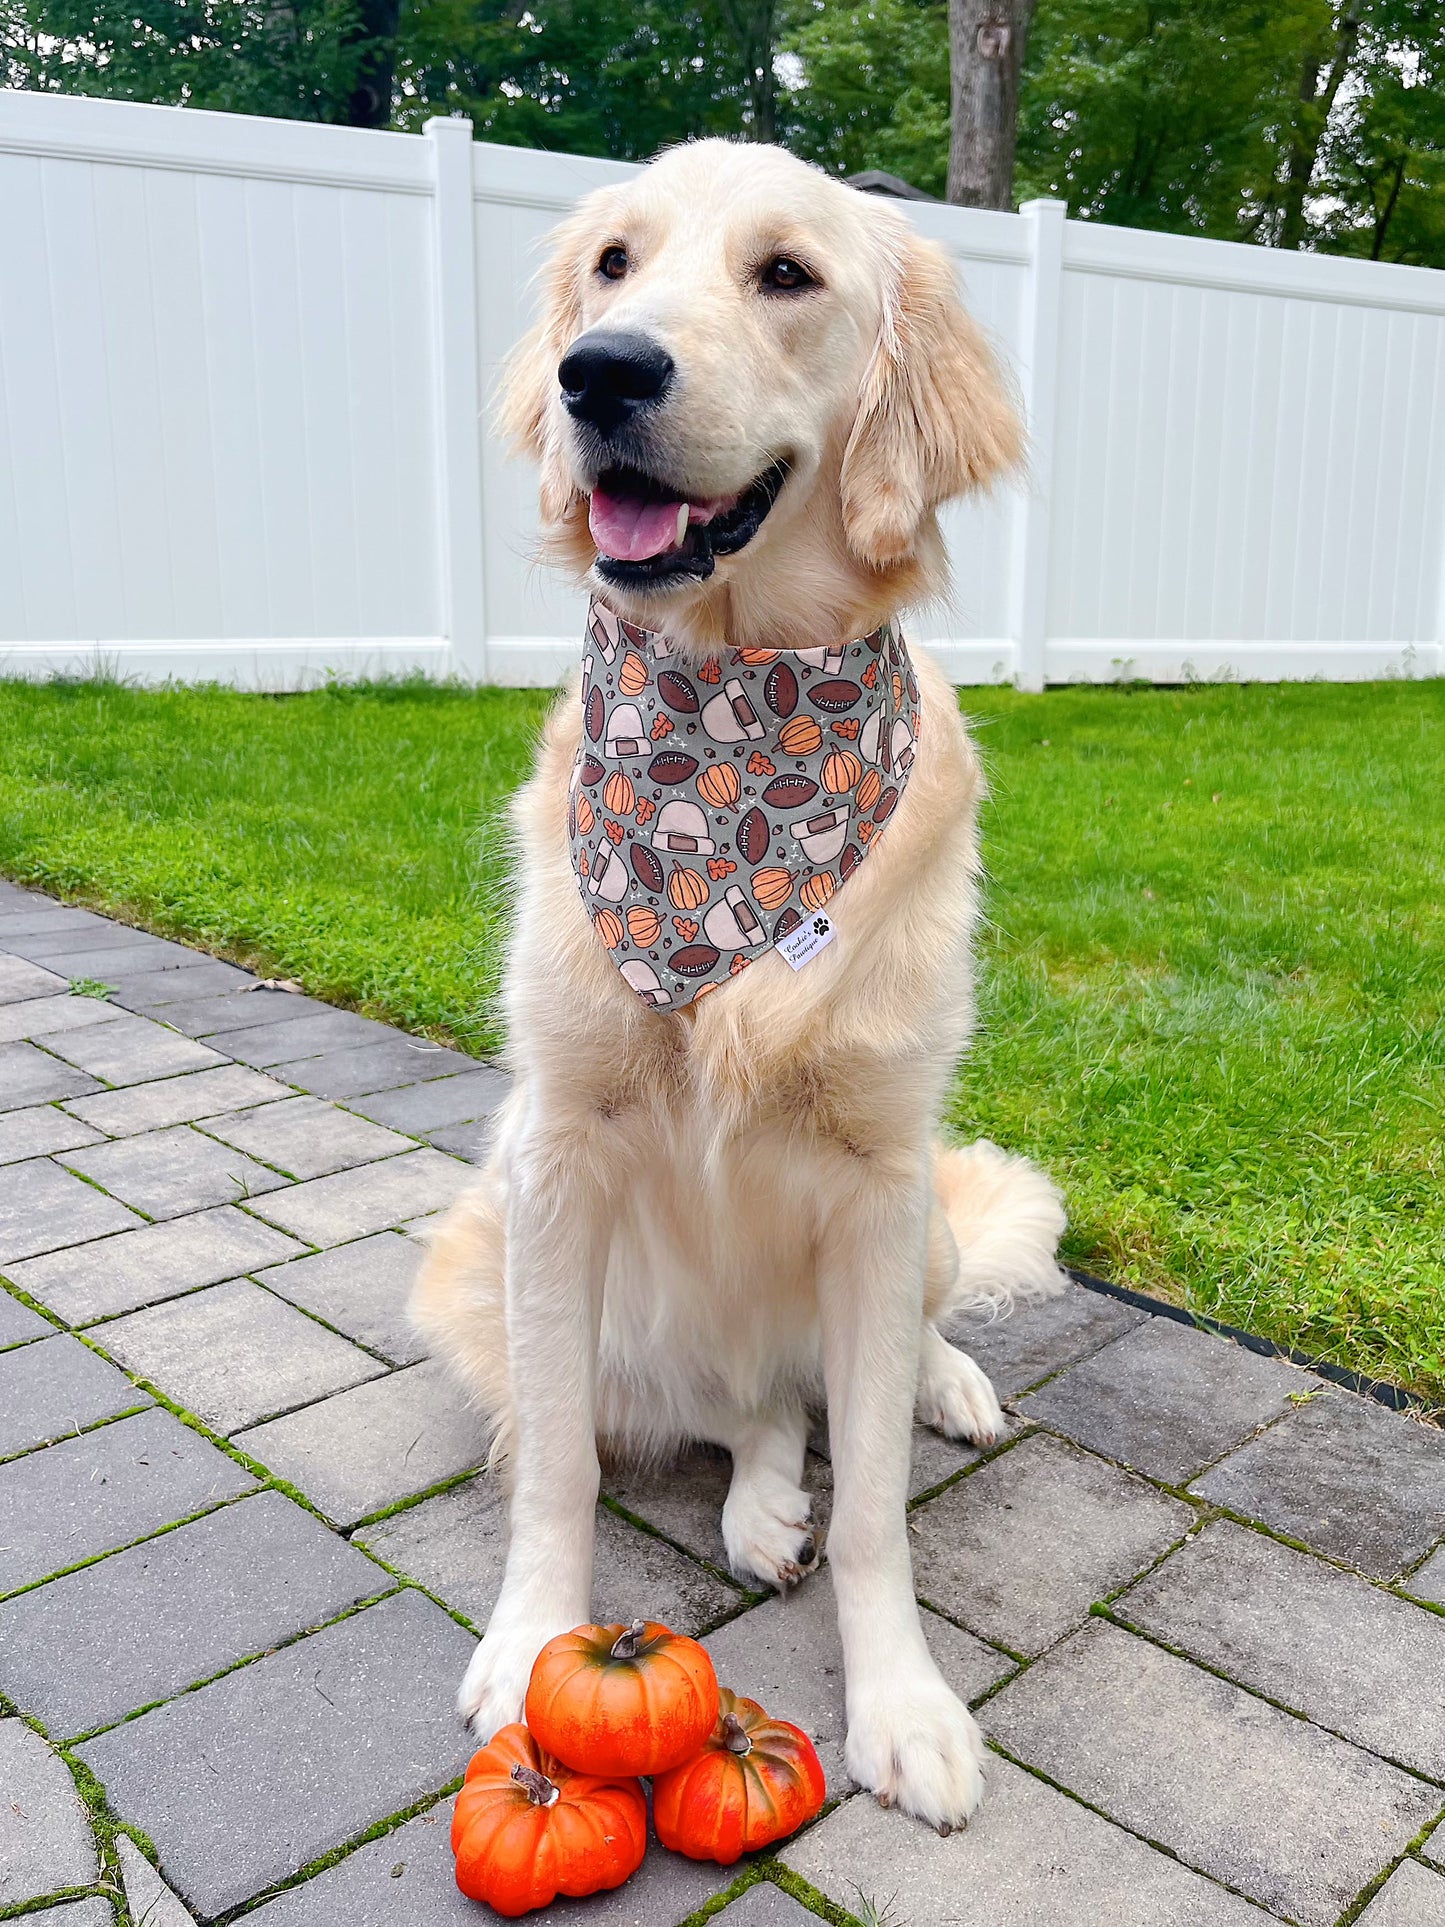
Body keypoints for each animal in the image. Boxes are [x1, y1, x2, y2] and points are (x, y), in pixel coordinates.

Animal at [412, 135, 1071, 1819]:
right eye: (613, 266)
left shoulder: (879, 1168)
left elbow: (879, 1508)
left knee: (844, 1374)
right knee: (743, 1402)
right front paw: (530, 1639)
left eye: (787, 274)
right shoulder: (555, 1153)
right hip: (513, 1271)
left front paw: (902, 1700)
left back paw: (935, 1387)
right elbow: (562, 1461)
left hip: (914, 1227)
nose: (600, 372)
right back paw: (761, 1497)